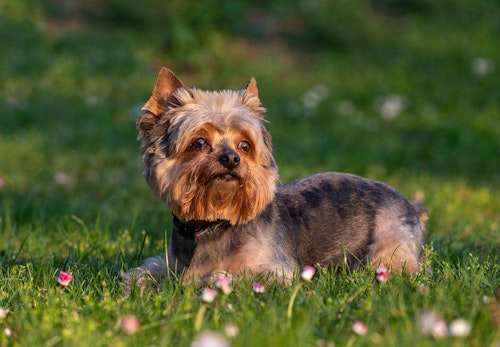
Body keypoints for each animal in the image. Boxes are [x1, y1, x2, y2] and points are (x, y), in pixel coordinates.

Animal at [122, 66, 430, 290]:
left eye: (244, 145)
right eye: (198, 142)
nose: (231, 159)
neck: (213, 225)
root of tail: (411, 205)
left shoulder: (277, 272)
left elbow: (231, 276)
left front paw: (208, 279)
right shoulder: (168, 262)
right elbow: (142, 274)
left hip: (388, 250)